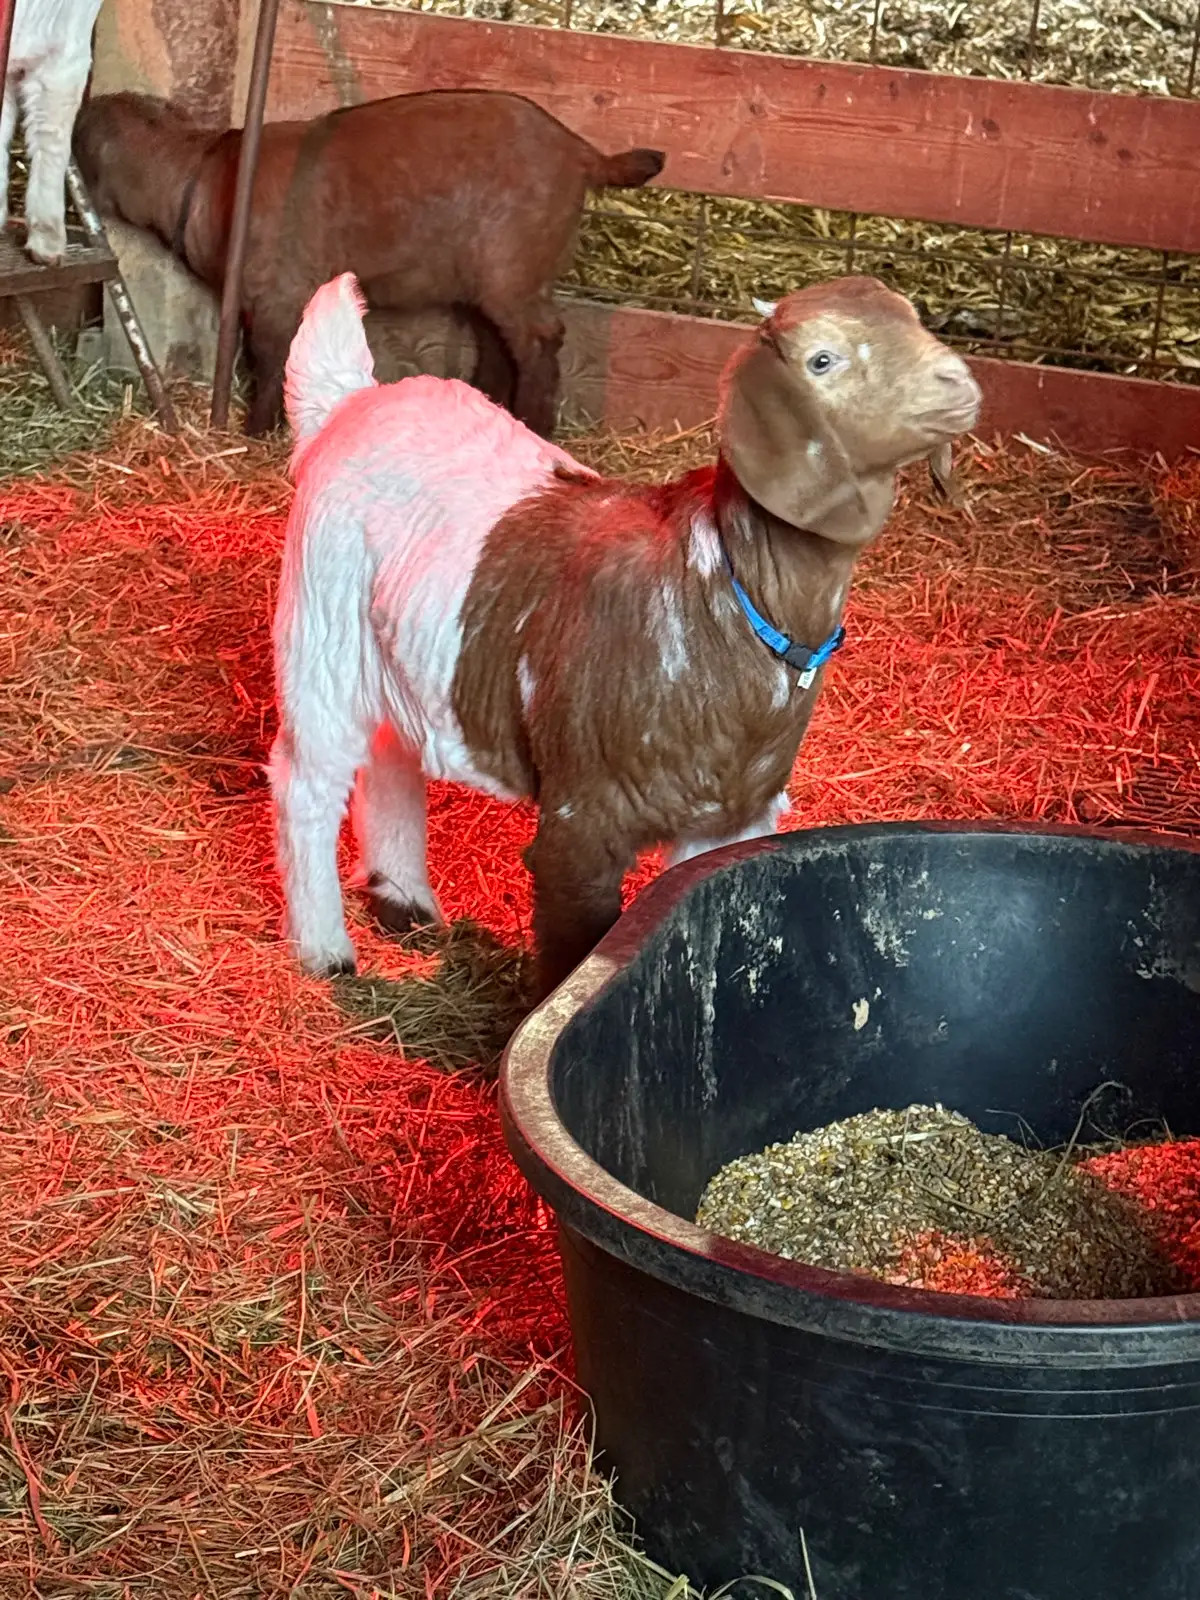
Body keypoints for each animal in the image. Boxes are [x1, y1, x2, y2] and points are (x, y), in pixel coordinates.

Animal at [71, 89, 665, 437]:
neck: (200, 178)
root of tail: (582, 152)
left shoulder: (277, 291)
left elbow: (270, 358)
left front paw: (256, 431)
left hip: (512, 266)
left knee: (541, 340)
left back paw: (537, 427)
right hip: (483, 278)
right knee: (500, 343)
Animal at [269, 271, 982, 1000]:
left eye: (912, 317)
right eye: (822, 360)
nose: (957, 383)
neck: (720, 592)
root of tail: (351, 400)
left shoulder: (732, 817)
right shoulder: (580, 823)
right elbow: (569, 954)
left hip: (395, 650)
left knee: (391, 754)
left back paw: (405, 900)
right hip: (322, 633)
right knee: (308, 781)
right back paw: (325, 951)